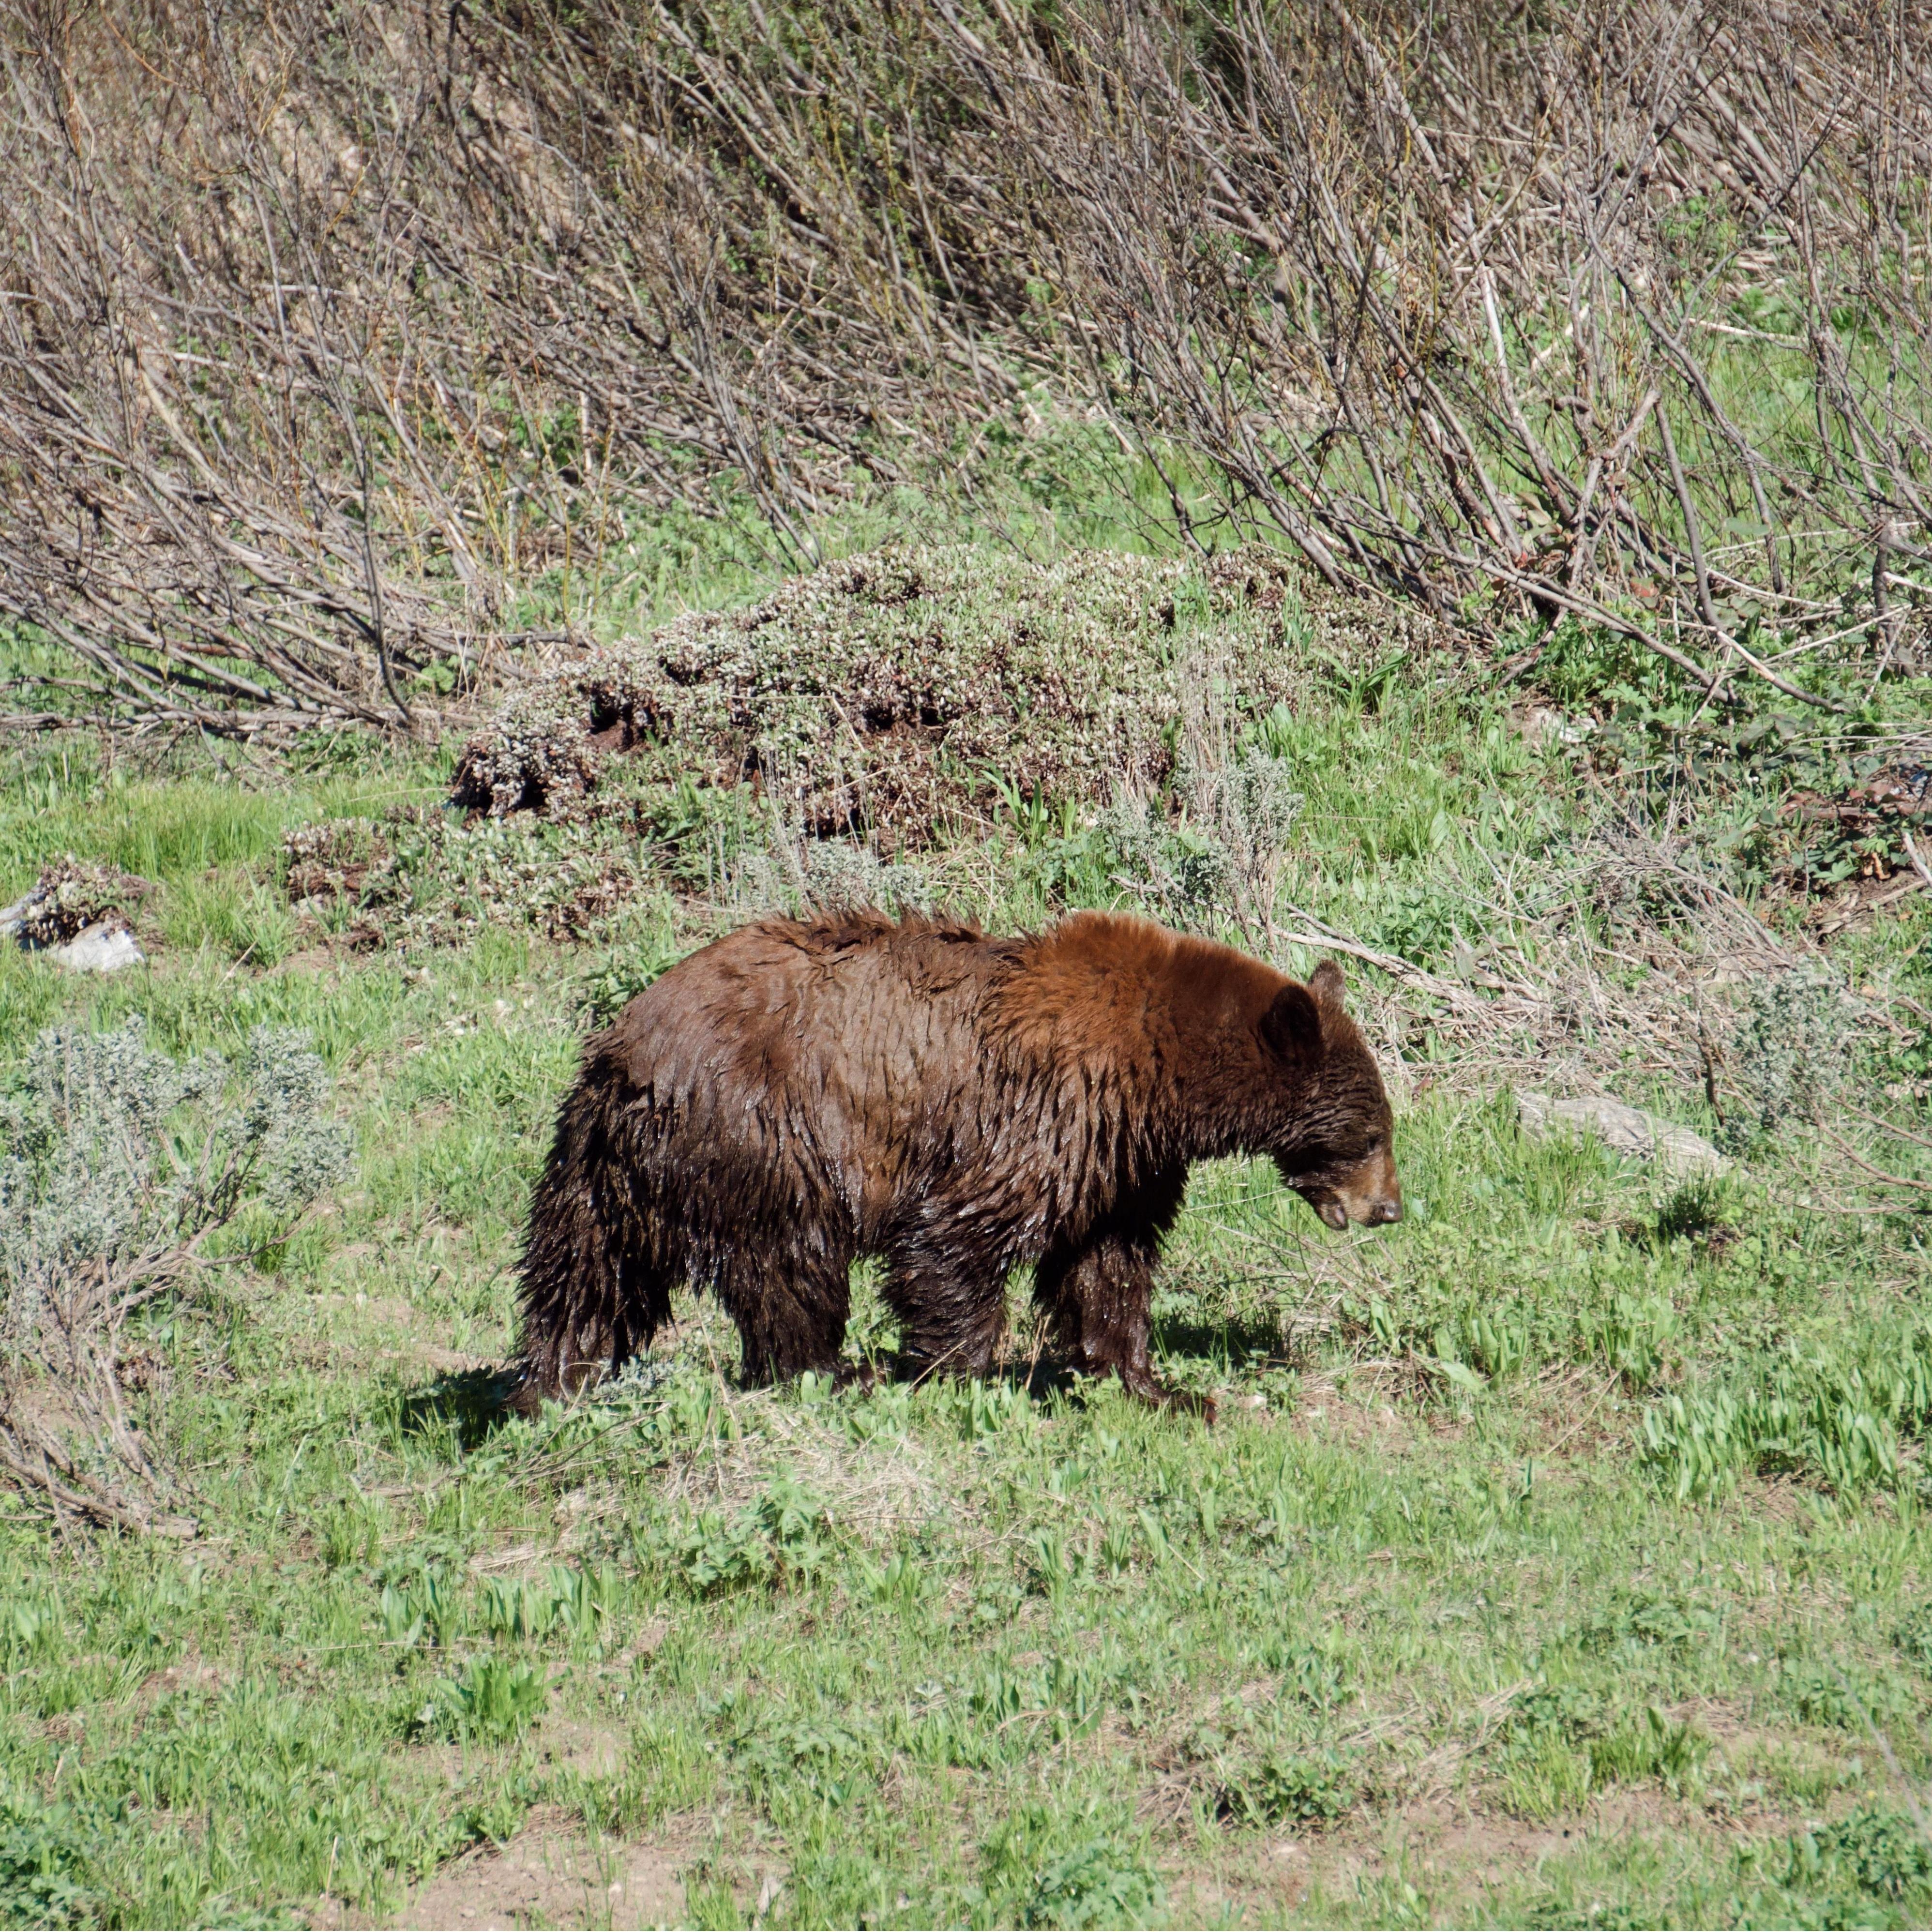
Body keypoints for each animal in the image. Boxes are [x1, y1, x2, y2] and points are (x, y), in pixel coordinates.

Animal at [514, 908, 1401, 1419]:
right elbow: (953, 1240)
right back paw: (834, 1374)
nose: (1387, 1207)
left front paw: (1157, 1387)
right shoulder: (1034, 1114)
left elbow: (1107, 1266)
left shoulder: (1118, 1163)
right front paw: (956, 1374)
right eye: (1369, 1134)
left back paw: (551, 1384)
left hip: (608, 1168)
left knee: (584, 1274)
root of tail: (623, 1049)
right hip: (767, 1136)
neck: (1154, 1074)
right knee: (791, 1268)